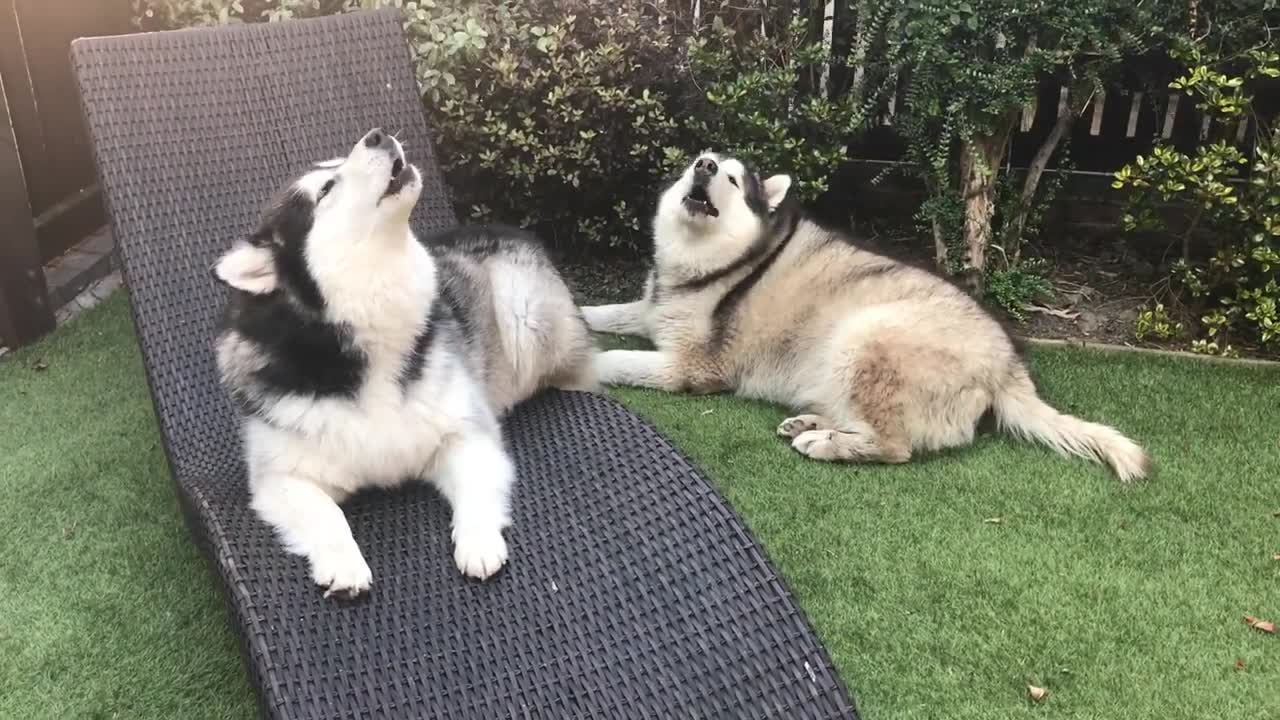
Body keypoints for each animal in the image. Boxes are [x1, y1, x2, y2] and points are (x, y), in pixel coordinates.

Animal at [212, 127, 596, 594]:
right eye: (326, 189)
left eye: (337, 162)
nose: (377, 135)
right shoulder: (278, 477)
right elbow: (325, 514)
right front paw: (343, 562)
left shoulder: (466, 432)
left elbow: (474, 486)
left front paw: (478, 540)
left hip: (519, 308)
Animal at [581, 150, 1152, 479]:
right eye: (701, 161)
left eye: (735, 180)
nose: (704, 168)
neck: (713, 261)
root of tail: (1009, 365)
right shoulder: (649, 311)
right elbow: (597, 314)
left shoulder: (693, 367)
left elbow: (615, 358)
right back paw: (815, 422)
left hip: (864, 334)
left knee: (894, 446)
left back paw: (823, 442)